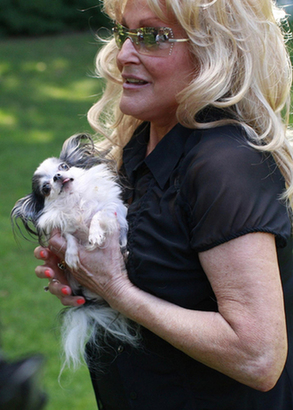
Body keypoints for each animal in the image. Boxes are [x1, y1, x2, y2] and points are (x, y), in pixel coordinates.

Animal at [11, 135, 139, 372]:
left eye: (63, 167)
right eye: (45, 188)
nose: (57, 177)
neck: (75, 200)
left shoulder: (112, 211)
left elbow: (98, 214)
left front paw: (95, 234)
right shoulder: (62, 227)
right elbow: (69, 235)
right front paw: (70, 255)